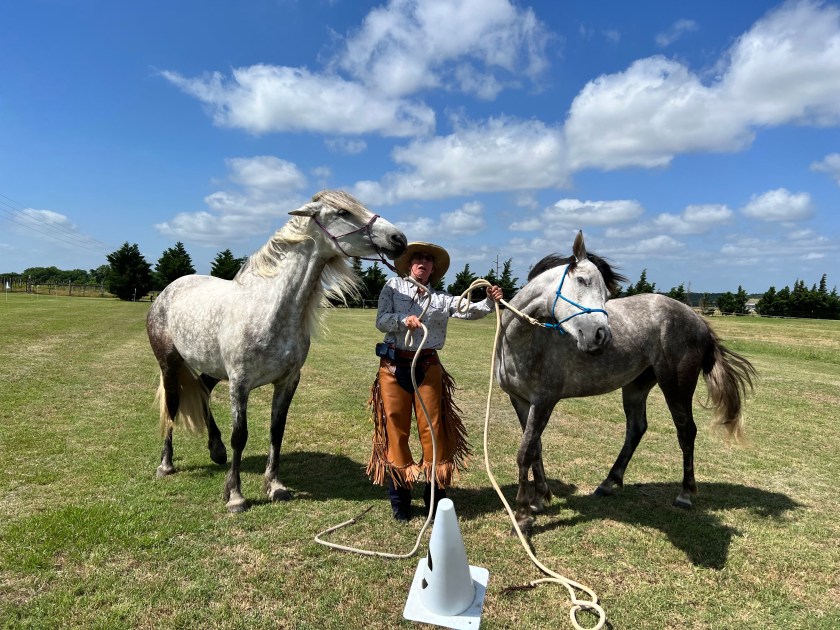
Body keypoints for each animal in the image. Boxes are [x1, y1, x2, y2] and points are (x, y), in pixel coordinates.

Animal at [147, 190, 407, 512]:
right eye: (343, 212)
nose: (399, 239)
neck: (268, 308)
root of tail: (165, 294)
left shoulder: (288, 381)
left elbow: (276, 430)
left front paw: (275, 486)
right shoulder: (239, 383)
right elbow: (240, 435)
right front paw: (235, 496)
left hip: (211, 367)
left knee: (204, 389)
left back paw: (216, 451)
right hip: (169, 365)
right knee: (171, 408)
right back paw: (166, 465)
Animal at [495, 250, 757, 534]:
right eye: (583, 282)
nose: (600, 336)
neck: (524, 339)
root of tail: (697, 319)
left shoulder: (544, 401)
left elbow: (525, 452)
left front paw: (522, 516)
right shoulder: (520, 400)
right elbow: (536, 448)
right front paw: (540, 499)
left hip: (676, 387)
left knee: (686, 432)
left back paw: (685, 494)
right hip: (635, 387)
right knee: (636, 428)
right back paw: (608, 483)